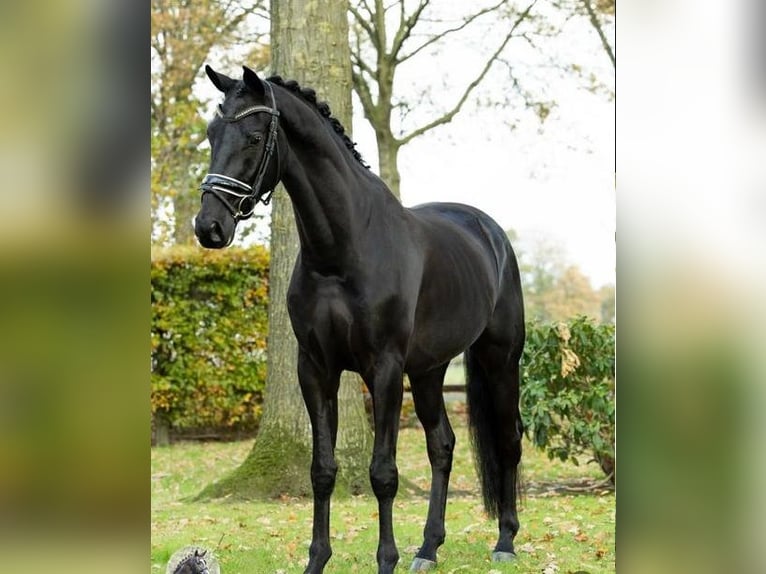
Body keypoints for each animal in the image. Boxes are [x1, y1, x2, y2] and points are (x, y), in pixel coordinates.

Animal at [194, 65, 525, 574]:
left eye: (253, 136)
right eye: (212, 133)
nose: (209, 227)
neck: (341, 251)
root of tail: (491, 234)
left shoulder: (384, 369)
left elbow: (382, 472)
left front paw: (385, 560)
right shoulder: (315, 369)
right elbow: (322, 470)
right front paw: (317, 560)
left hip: (499, 359)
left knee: (508, 440)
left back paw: (505, 540)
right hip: (428, 372)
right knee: (442, 445)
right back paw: (428, 548)